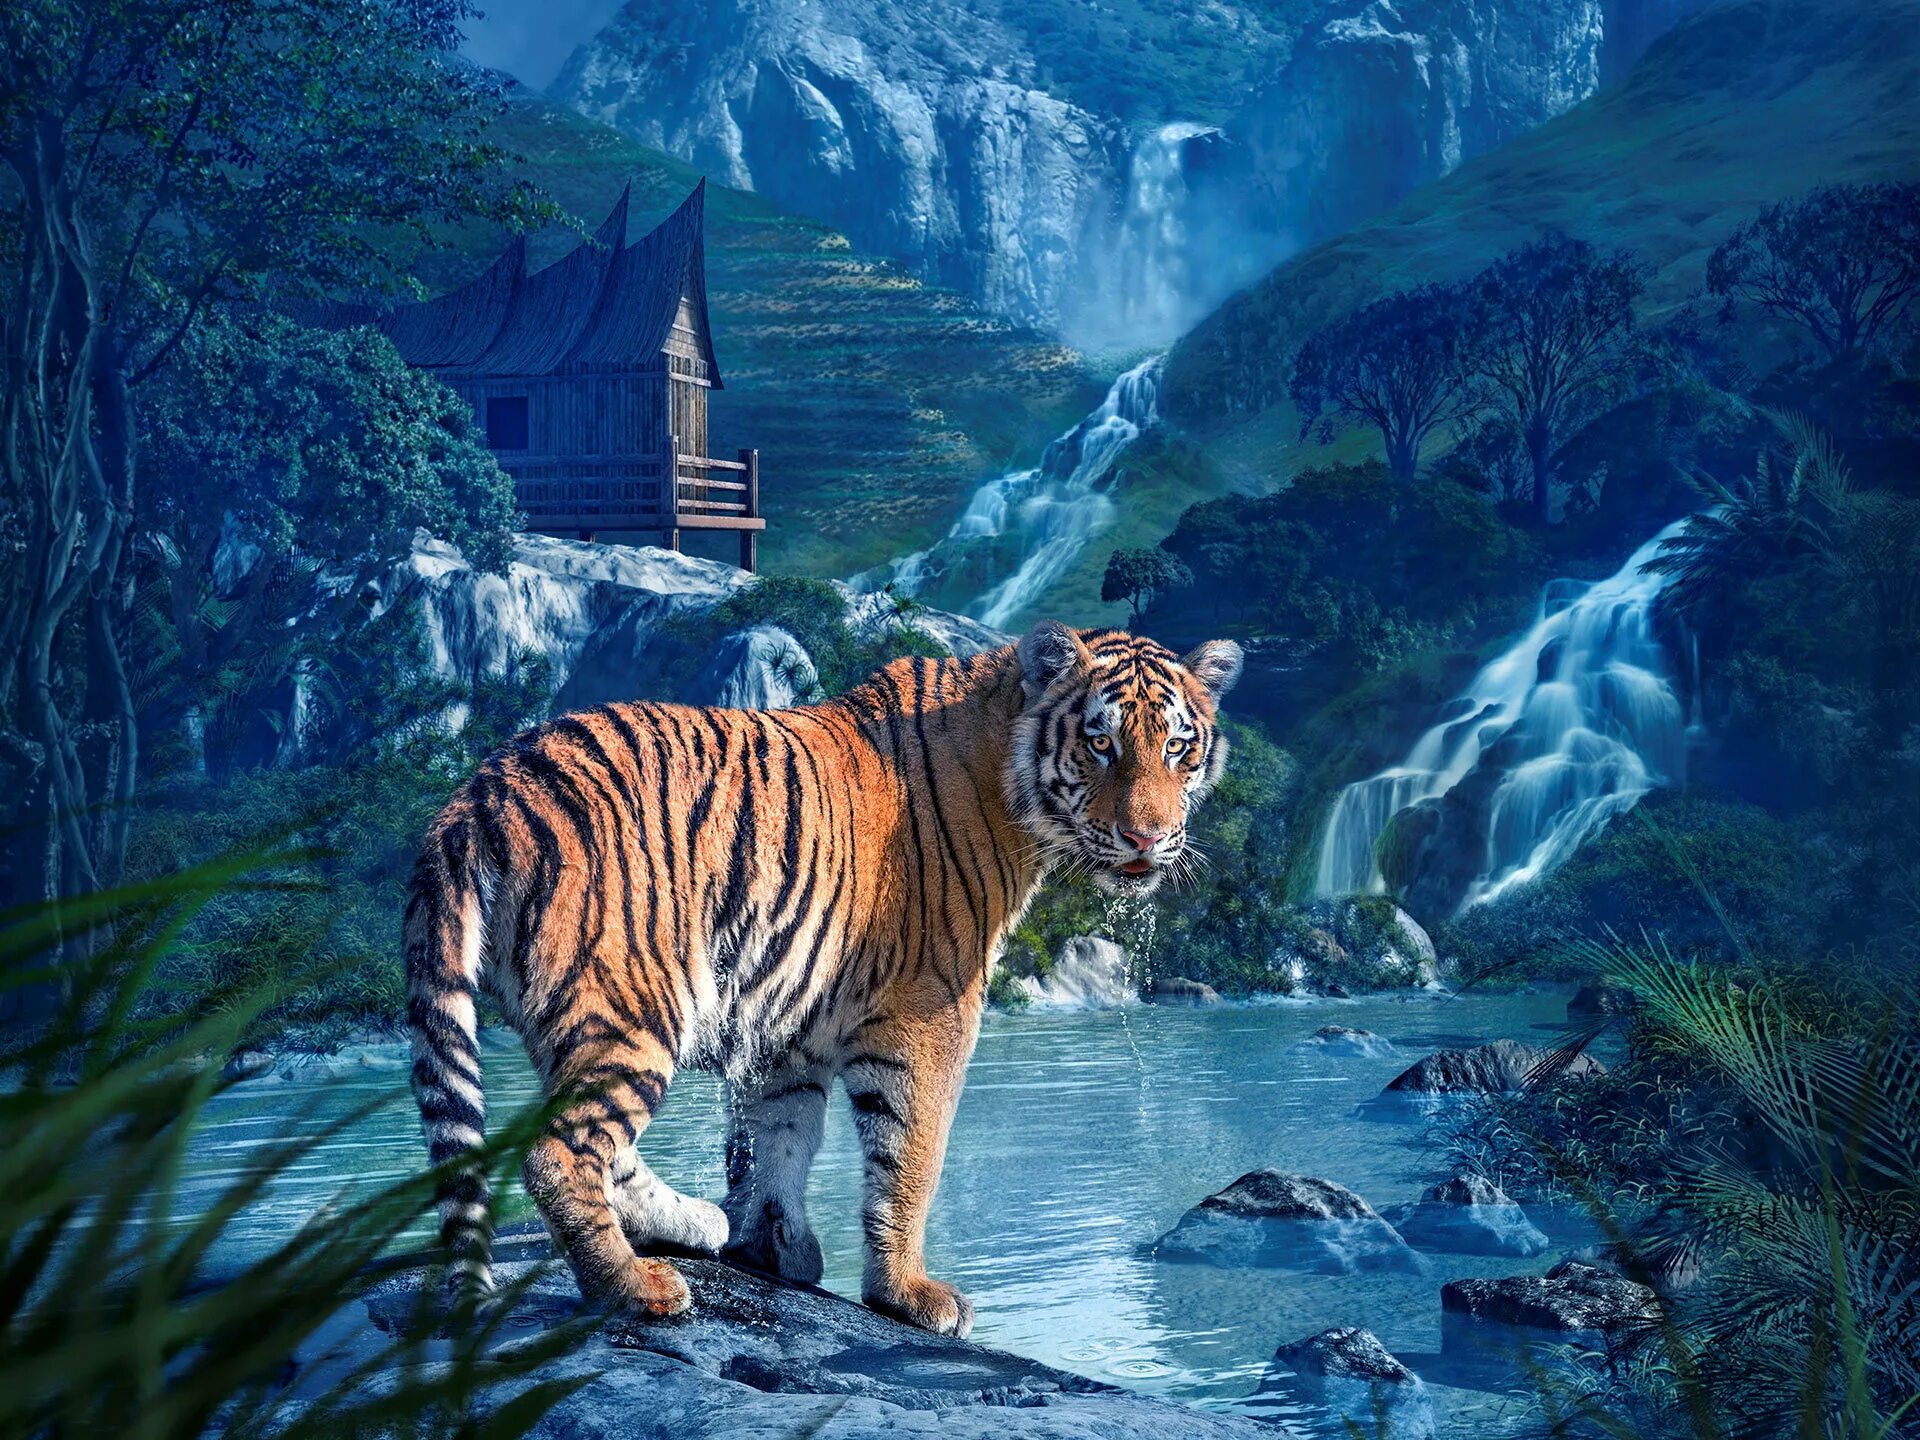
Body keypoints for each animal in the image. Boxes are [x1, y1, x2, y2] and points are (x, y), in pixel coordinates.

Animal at [404, 620, 1242, 1336]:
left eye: (1178, 747)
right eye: (1101, 743)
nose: (1148, 838)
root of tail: (477, 795)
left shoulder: (786, 1018)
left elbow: (781, 1136)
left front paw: (776, 1249)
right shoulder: (931, 1010)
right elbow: (911, 1155)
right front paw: (908, 1293)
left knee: (597, 1144)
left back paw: (691, 1223)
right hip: (634, 1000)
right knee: (558, 1153)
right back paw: (634, 1287)